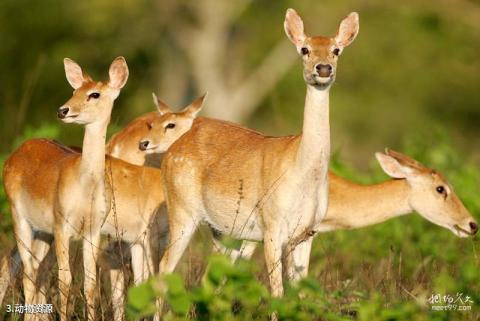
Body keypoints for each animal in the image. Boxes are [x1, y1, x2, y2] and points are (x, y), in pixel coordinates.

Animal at [142, 8, 360, 308]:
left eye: (336, 50)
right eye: (304, 49)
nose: (323, 68)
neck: (303, 173)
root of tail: (172, 151)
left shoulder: (307, 232)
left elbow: (302, 292)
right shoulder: (272, 224)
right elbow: (277, 291)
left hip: (224, 231)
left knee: (211, 278)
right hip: (182, 209)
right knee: (165, 268)